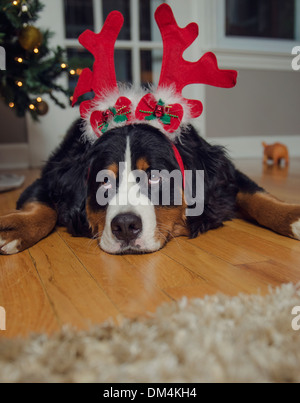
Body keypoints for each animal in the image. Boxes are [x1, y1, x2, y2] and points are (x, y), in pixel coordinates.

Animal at [0, 120, 298, 258]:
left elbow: (257, 196)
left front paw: (292, 216)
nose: (125, 226)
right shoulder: (48, 178)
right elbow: (42, 209)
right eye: (104, 181)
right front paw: (13, 229)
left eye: (155, 177)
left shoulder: (227, 180)